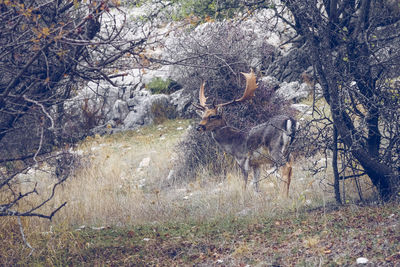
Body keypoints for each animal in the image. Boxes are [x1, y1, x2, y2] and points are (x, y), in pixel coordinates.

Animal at [194, 69, 296, 197]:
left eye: (212, 116)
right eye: (202, 115)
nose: (198, 127)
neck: (233, 143)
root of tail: (290, 120)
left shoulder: (242, 159)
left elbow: (244, 183)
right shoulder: (256, 164)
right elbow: (256, 184)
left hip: (275, 148)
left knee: (286, 168)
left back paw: (282, 196)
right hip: (289, 151)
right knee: (291, 168)